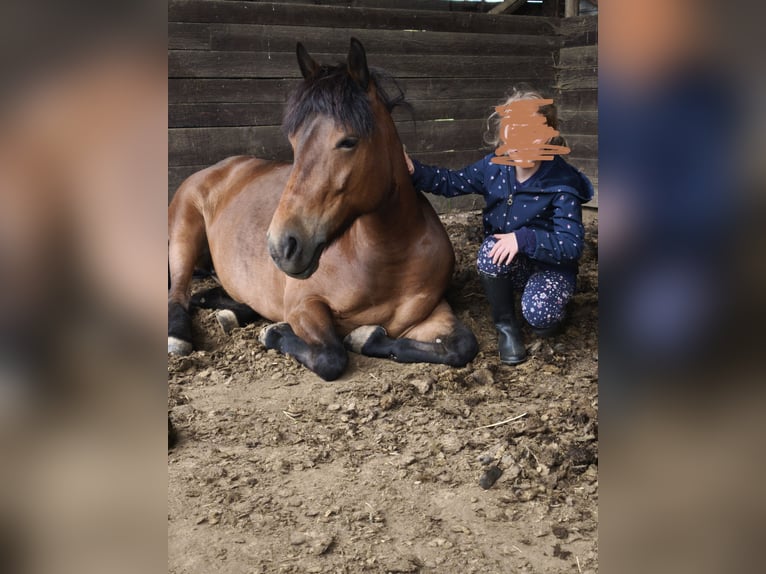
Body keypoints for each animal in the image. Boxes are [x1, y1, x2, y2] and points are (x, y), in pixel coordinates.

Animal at [167, 38, 478, 381]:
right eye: (294, 141)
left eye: (348, 141)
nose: (282, 246)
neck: (386, 260)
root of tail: (221, 168)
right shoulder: (305, 305)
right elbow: (330, 356)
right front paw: (274, 333)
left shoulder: (432, 312)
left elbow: (461, 346)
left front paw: (365, 336)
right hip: (183, 237)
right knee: (177, 293)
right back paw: (179, 335)